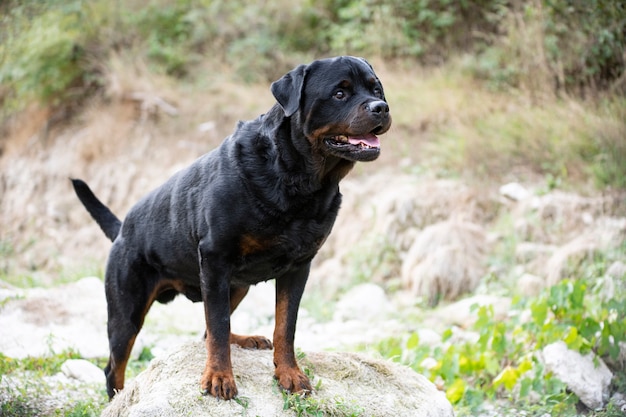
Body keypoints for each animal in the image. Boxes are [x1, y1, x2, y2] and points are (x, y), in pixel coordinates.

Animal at [70, 56, 388, 400]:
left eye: (376, 89)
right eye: (340, 93)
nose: (381, 107)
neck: (296, 178)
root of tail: (122, 230)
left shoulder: (299, 267)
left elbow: (285, 326)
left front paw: (289, 372)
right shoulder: (215, 258)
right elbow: (219, 326)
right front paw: (219, 376)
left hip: (236, 285)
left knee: (206, 331)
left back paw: (245, 339)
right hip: (127, 308)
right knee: (117, 364)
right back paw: (117, 397)